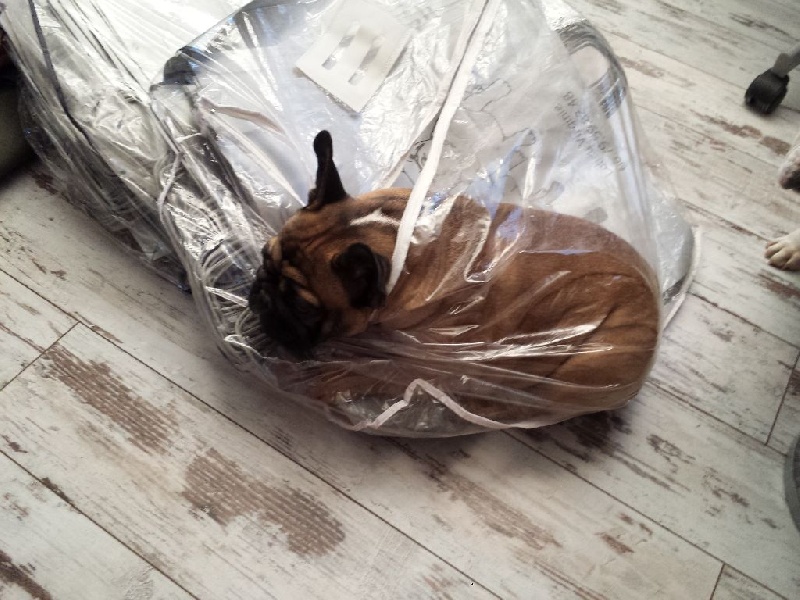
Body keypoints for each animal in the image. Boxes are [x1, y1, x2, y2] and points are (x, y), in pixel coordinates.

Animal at [248, 131, 661, 423]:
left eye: (304, 307)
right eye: (264, 256)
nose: (261, 293)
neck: (407, 244)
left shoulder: (415, 364)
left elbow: (361, 373)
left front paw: (317, 378)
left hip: (585, 365)